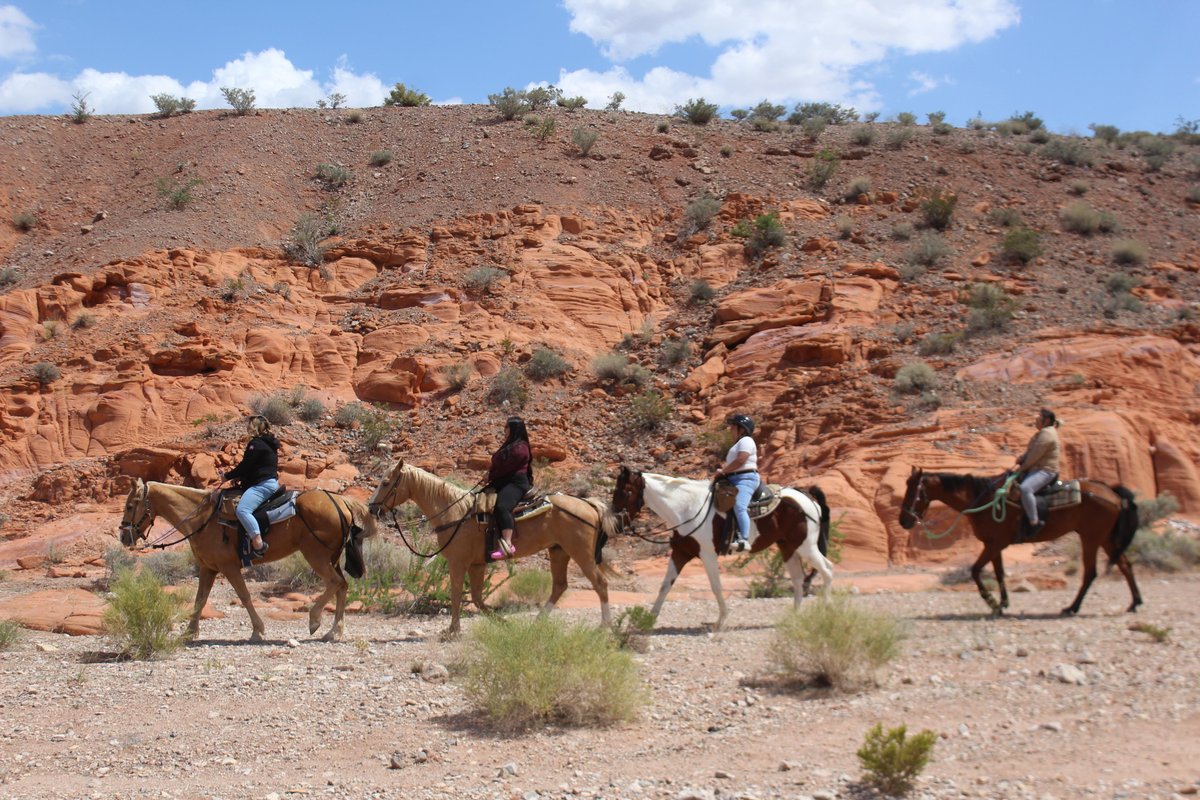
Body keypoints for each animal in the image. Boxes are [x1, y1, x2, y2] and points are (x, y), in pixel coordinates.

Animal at [119, 479, 376, 642]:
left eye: (130, 505)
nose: (123, 537)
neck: (203, 519)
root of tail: (340, 502)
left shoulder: (229, 567)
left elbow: (244, 596)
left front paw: (258, 631)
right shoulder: (208, 568)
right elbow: (200, 600)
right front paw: (189, 633)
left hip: (316, 556)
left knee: (335, 583)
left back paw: (315, 621)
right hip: (330, 557)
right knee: (342, 586)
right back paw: (335, 632)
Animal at [364, 462, 619, 638]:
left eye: (386, 482)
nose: (372, 508)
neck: (455, 513)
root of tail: (588, 504)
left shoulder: (458, 562)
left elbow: (456, 594)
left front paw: (452, 631)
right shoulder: (477, 564)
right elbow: (477, 599)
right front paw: (504, 624)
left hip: (580, 553)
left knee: (600, 584)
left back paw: (603, 626)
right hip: (559, 551)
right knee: (559, 586)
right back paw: (538, 622)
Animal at [609, 470, 835, 633]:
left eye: (625, 492)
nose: (616, 524)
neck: (687, 508)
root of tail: (806, 496)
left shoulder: (707, 555)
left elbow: (716, 587)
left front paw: (721, 621)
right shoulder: (681, 553)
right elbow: (665, 586)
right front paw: (647, 620)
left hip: (806, 546)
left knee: (827, 570)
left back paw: (827, 612)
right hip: (788, 547)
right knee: (798, 579)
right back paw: (794, 617)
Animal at [902, 465, 1142, 618]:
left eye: (913, 491)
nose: (903, 520)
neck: (983, 500)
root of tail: (1112, 493)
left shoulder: (994, 544)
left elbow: (975, 571)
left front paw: (991, 602)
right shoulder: (994, 545)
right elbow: (999, 573)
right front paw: (1002, 604)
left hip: (1090, 538)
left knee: (1091, 572)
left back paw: (1071, 608)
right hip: (1105, 538)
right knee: (1126, 565)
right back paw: (1134, 603)